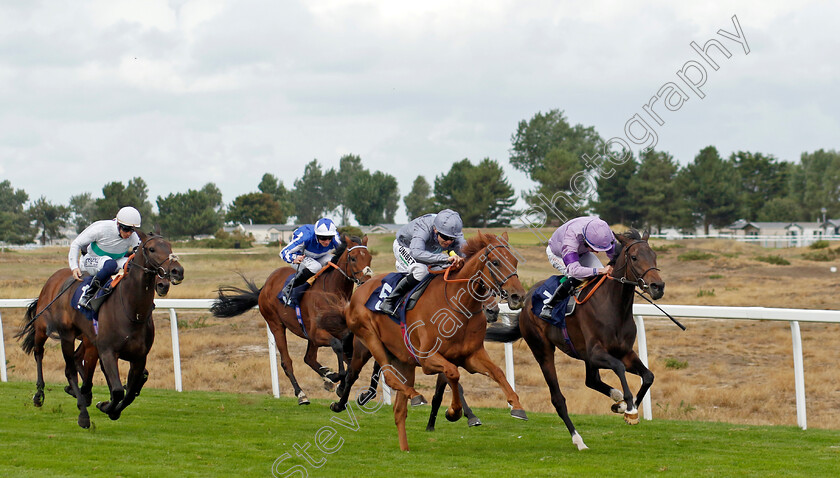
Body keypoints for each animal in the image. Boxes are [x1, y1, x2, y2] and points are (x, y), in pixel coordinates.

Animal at [16, 230, 184, 428]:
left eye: (170, 246)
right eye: (151, 249)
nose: (177, 271)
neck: (132, 311)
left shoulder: (139, 356)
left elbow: (130, 390)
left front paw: (110, 407)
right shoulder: (107, 350)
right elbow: (118, 389)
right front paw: (105, 405)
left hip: (85, 340)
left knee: (76, 362)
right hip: (52, 331)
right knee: (46, 357)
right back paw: (51, 399)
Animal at [210, 234, 370, 404]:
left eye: (369, 257)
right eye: (353, 258)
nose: (366, 281)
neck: (331, 292)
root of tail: (265, 286)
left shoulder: (341, 332)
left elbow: (348, 355)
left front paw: (338, 382)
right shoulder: (316, 333)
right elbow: (337, 346)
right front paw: (336, 376)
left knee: (309, 358)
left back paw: (326, 376)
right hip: (276, 325)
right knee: (287, 362)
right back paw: (302, 394)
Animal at [322, 233, 524, 450]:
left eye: (514, 261)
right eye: (495, 262)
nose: (518, 296)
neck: (457, 304)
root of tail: (358, 292)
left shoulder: (471, 356)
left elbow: (497, 372)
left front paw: (516, 406)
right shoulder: (427, 358)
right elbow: (453, 373)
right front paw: (454, 412)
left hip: (401, 361)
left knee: (395, 407)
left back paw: (402, 445)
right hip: (368, 339)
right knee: (376, 376)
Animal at [486, 230, 664, 450]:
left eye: (654, 255)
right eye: (634, 257)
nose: (658, 286)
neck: (613, 307)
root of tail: (526, 301)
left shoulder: (624, 352)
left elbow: (648, 376)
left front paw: (627, 407)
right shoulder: (596, 353)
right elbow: (619, 367)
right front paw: (629, 407)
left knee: (592, 380)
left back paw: (616, 398)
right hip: (542, 350)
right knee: (558, 399)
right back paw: (579, 440)